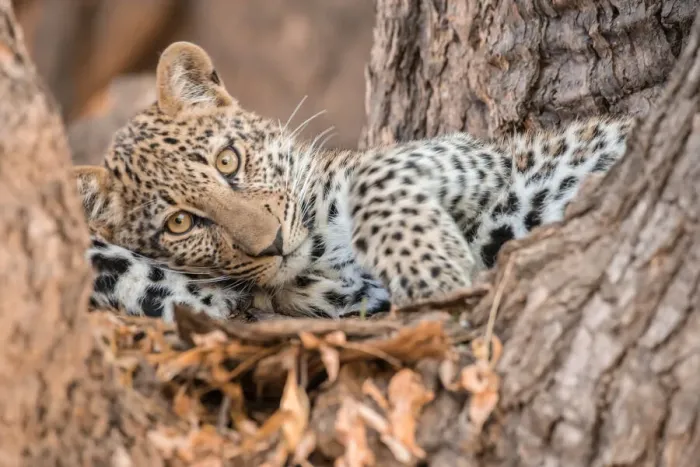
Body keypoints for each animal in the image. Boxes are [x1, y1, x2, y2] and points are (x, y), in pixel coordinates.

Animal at [75, 41, 634, 322]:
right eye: (180, 224)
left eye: (228, 162)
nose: (272, 244)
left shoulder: (471, 155)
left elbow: (373, 173)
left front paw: (438, 273)